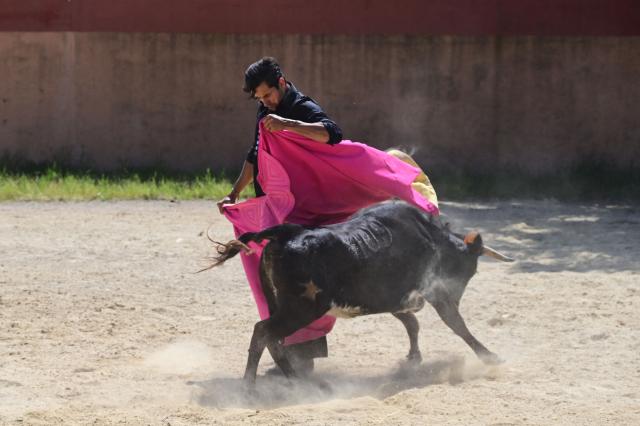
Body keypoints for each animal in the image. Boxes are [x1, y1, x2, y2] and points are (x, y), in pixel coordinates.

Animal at [209, 200, 513, 387]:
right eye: (470, 269)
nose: (457, 295)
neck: (431, 238)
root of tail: (287, 234)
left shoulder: (395, 299)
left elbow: (412, 324)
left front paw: (412, 360)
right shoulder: (436, 293)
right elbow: (457, 325)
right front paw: (491, 357)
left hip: (279, 304)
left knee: (274, 339)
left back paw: (296, 381)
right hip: (302, 308)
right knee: (264, 332)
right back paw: (251, 385)